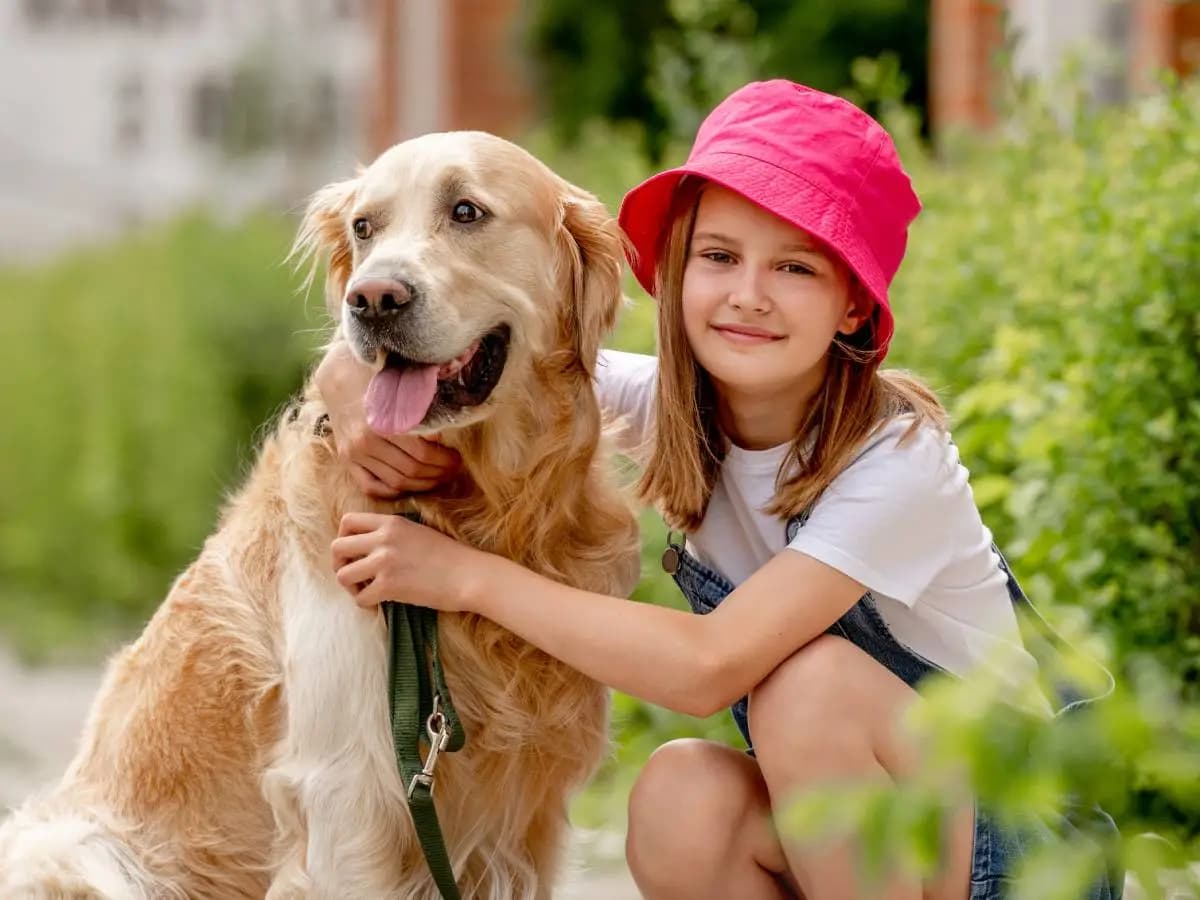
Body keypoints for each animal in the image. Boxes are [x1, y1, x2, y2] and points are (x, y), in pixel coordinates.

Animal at [0, 132, 643, 900]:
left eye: (466, 211)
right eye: (364, 227)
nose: (372, 299)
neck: (481, 507)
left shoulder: (527, 822)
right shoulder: (349, 791)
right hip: (72, 851)